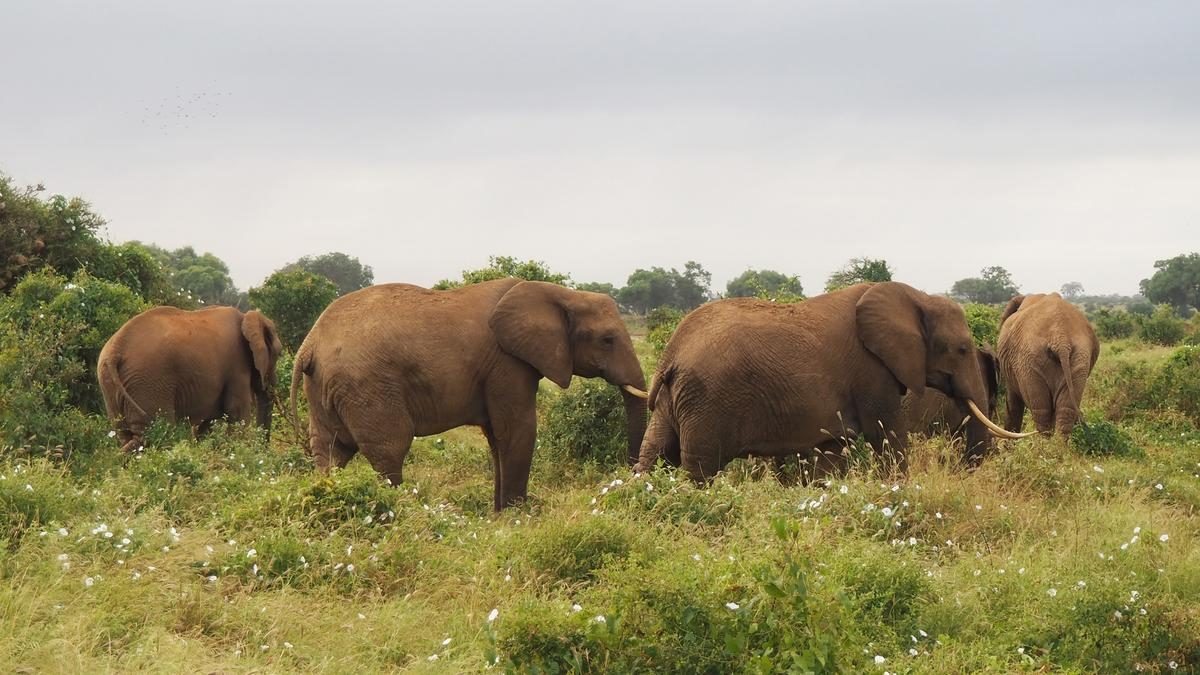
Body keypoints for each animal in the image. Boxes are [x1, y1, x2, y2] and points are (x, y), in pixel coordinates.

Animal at [97, 307, 283, 449]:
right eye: (279, 353)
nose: (265, 450)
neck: (246, 317)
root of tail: (115, 350)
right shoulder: (237, 366)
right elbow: (237, 414)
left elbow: (207, 424)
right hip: (148, 383)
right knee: (154, 433)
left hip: (111, 384)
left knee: (125, 434)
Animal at [290, 278, 648, 509]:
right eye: (607, 340)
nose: (629, 474)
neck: (559, 293)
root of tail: (309, 345)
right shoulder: (507, 362)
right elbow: (517, 430)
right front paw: (518, 517)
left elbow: (497, 438)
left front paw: (499, 514)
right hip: (367, 387)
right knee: (389, 451)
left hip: (325, 389)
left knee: (331, 451)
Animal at [633, 281, 1027, 480]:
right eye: (961, 349)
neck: (916, 297)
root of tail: (672, 352)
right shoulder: (871, 372)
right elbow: (886, 435)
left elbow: (832, 448)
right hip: (707, 400)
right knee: (700, 465)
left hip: (675, 398)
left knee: (655, 451)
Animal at [993, 291, 1099, 432]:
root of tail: (1061, 339)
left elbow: (1012, 402)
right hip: (1079, 359)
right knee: (1065, 411)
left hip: (1029, 362)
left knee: (1042, 412)